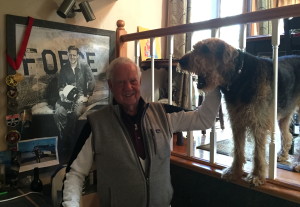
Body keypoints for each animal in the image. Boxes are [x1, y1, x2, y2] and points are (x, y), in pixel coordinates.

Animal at [178, 37, 300, 186]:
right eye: (195, 47)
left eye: (206, 49)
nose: (181, 61)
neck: (239, 76)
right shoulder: (237, 121)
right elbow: (237, 149)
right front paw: (234, 171)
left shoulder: (258, 124)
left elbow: (257, 153)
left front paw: (256, 176)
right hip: (285, 114)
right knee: (287, 136)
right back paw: (282, 155)